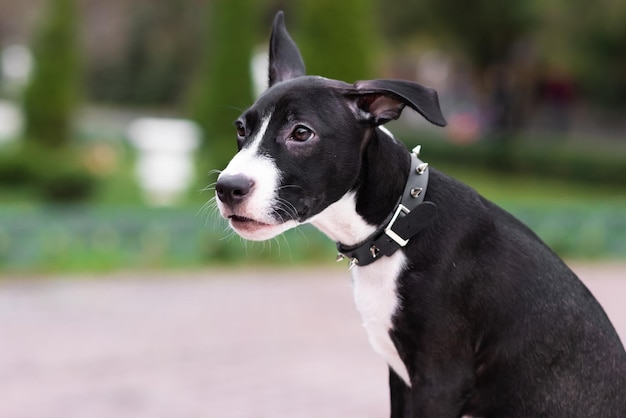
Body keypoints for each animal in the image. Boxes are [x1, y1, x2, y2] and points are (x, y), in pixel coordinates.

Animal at [216, 11, 624, 416]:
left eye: (301, 133)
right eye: (241, 129)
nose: (227, 187)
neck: (399, 225)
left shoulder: (440, 381)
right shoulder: (401, 378)